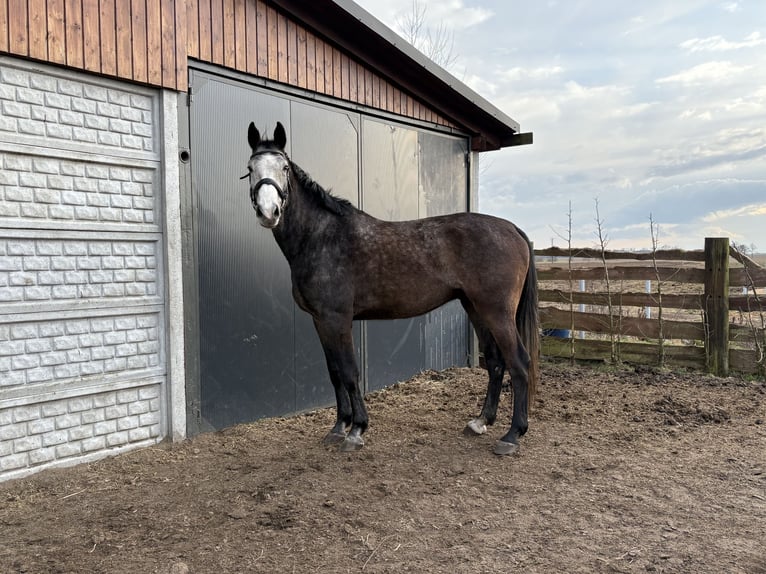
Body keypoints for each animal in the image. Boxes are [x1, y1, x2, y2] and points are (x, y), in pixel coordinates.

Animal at [242, 121, 539, 456]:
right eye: (250, 168)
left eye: (284, 168)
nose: (269, 212)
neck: (321, 237)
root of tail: (511, 228)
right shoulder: (320, 321)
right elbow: (334, 373)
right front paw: (338, 427)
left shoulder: (337, 319)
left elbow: (349, 372)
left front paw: (357, 429)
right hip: (475, 307)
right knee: (496, 362)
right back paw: (480, 422)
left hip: (497, 312)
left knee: (519, 363)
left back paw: (512, 435)